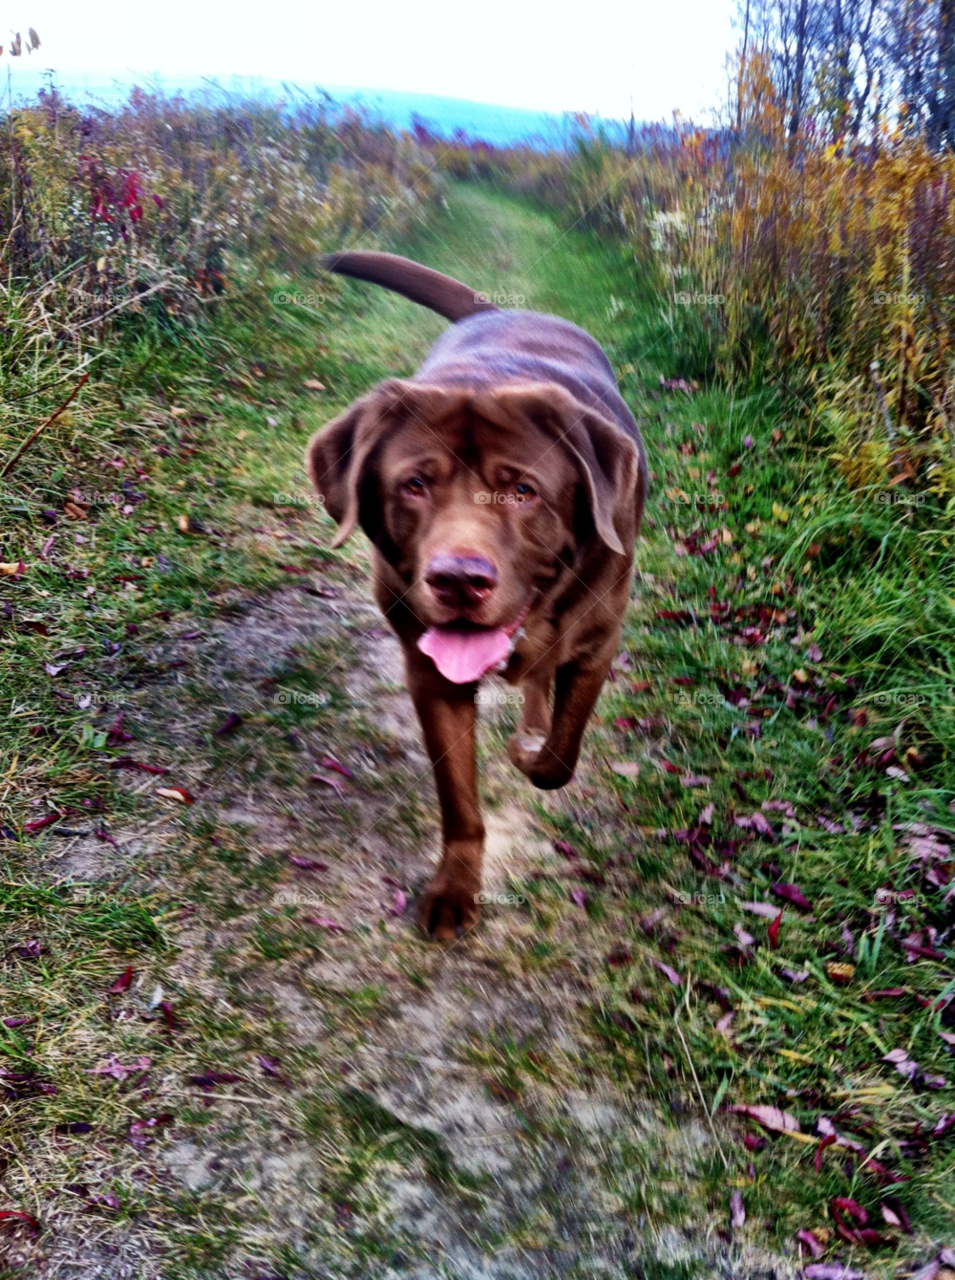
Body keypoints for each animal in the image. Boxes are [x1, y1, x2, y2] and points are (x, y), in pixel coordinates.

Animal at [304, 252, 647, 942]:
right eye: (413, 485)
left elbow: (561, 758)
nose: (458, 578)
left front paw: (532, 752)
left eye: (522, 491)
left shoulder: (596, 646)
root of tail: (501, 309)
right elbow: (459, 797)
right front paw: (456, 886)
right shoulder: (431, 675)